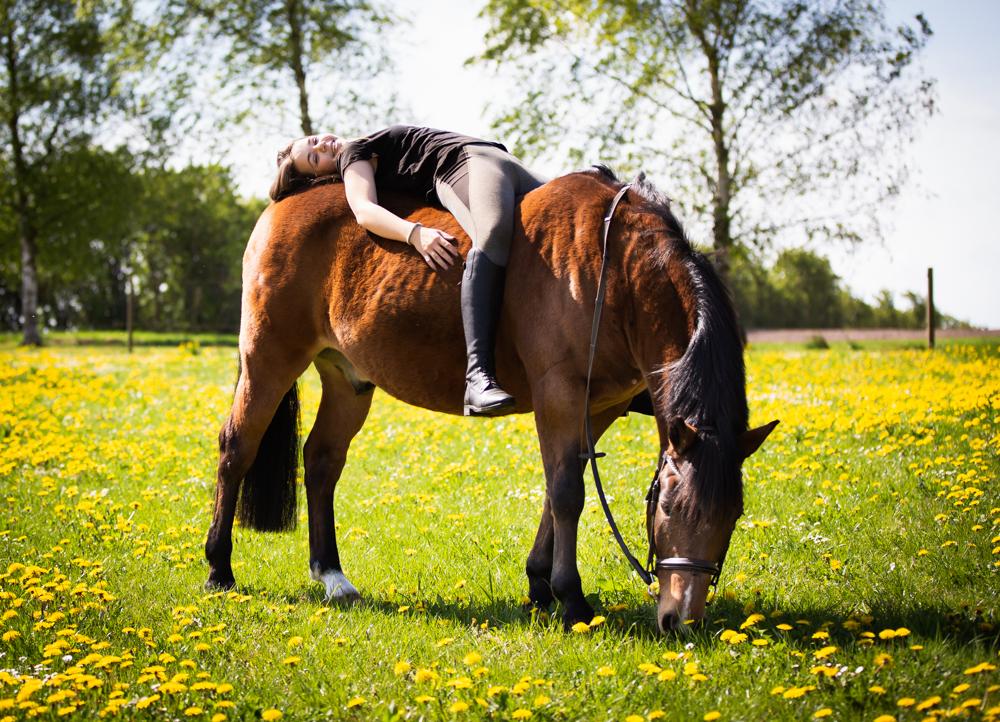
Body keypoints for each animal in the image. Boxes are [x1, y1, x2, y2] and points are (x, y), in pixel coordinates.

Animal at [203, 166, 776, 628]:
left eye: (733, 516)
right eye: (671, 508)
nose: (682, 619)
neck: (613, 267)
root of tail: (284, 203)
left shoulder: (598, 407)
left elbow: (557, 487)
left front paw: (540, 584)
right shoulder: (560, 394)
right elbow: (568, 493)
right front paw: (571, 600)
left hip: (348, 380)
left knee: (321, 461)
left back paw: (332, 575)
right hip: (268, 360)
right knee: (237, 450)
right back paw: (219, 567)